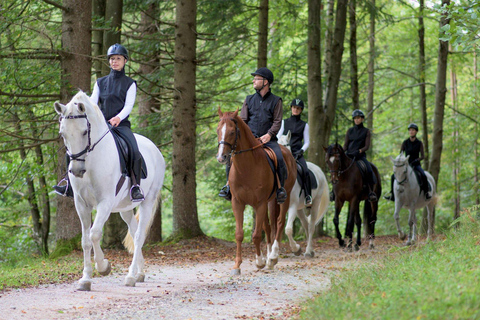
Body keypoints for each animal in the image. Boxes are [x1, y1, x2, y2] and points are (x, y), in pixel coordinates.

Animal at [55, 91, 165, 292]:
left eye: (84, 132)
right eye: (62, 133)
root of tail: (155, 149)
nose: (76, 171)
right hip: (125, 208)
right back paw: (139, 273)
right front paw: (85, 279)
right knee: (134, 231)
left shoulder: (104, 203)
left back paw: (130, 276)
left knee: (139, 236)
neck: (91, 161)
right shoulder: (81, 204)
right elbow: (85, 240)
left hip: (147, 201)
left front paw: (103, 266)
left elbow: (95, 233)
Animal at [215, 109, 296, 274]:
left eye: (232, 132)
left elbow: (257, 235)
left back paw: (273, 257)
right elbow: (239, 234)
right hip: (269, 202)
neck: (246, 167)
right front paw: (237, 265)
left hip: (284, 197)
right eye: (218, 130)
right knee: (269, 226)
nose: (221, 157)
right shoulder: (238, 203)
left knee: (279, 222)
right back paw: (269, 256)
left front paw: (259, 262)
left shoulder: (259, 204)